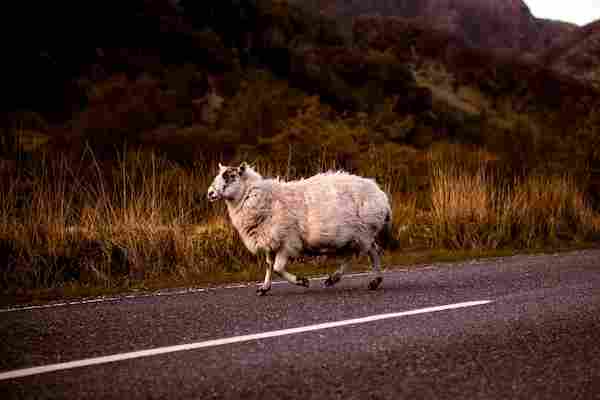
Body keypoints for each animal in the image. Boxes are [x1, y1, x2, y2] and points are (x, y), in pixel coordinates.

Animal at [207, 161, 398, 296]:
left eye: (230, 176)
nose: (210, 193)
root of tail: (381, 195)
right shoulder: (269, 240)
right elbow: (269, 266)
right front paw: (264, 288)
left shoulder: (288, 242)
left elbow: (277, 268)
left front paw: (302, 281)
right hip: (354, 236)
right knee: (358, 254)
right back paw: (341, 279)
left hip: (363, 232)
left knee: (367, 253)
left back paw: (365, 280)